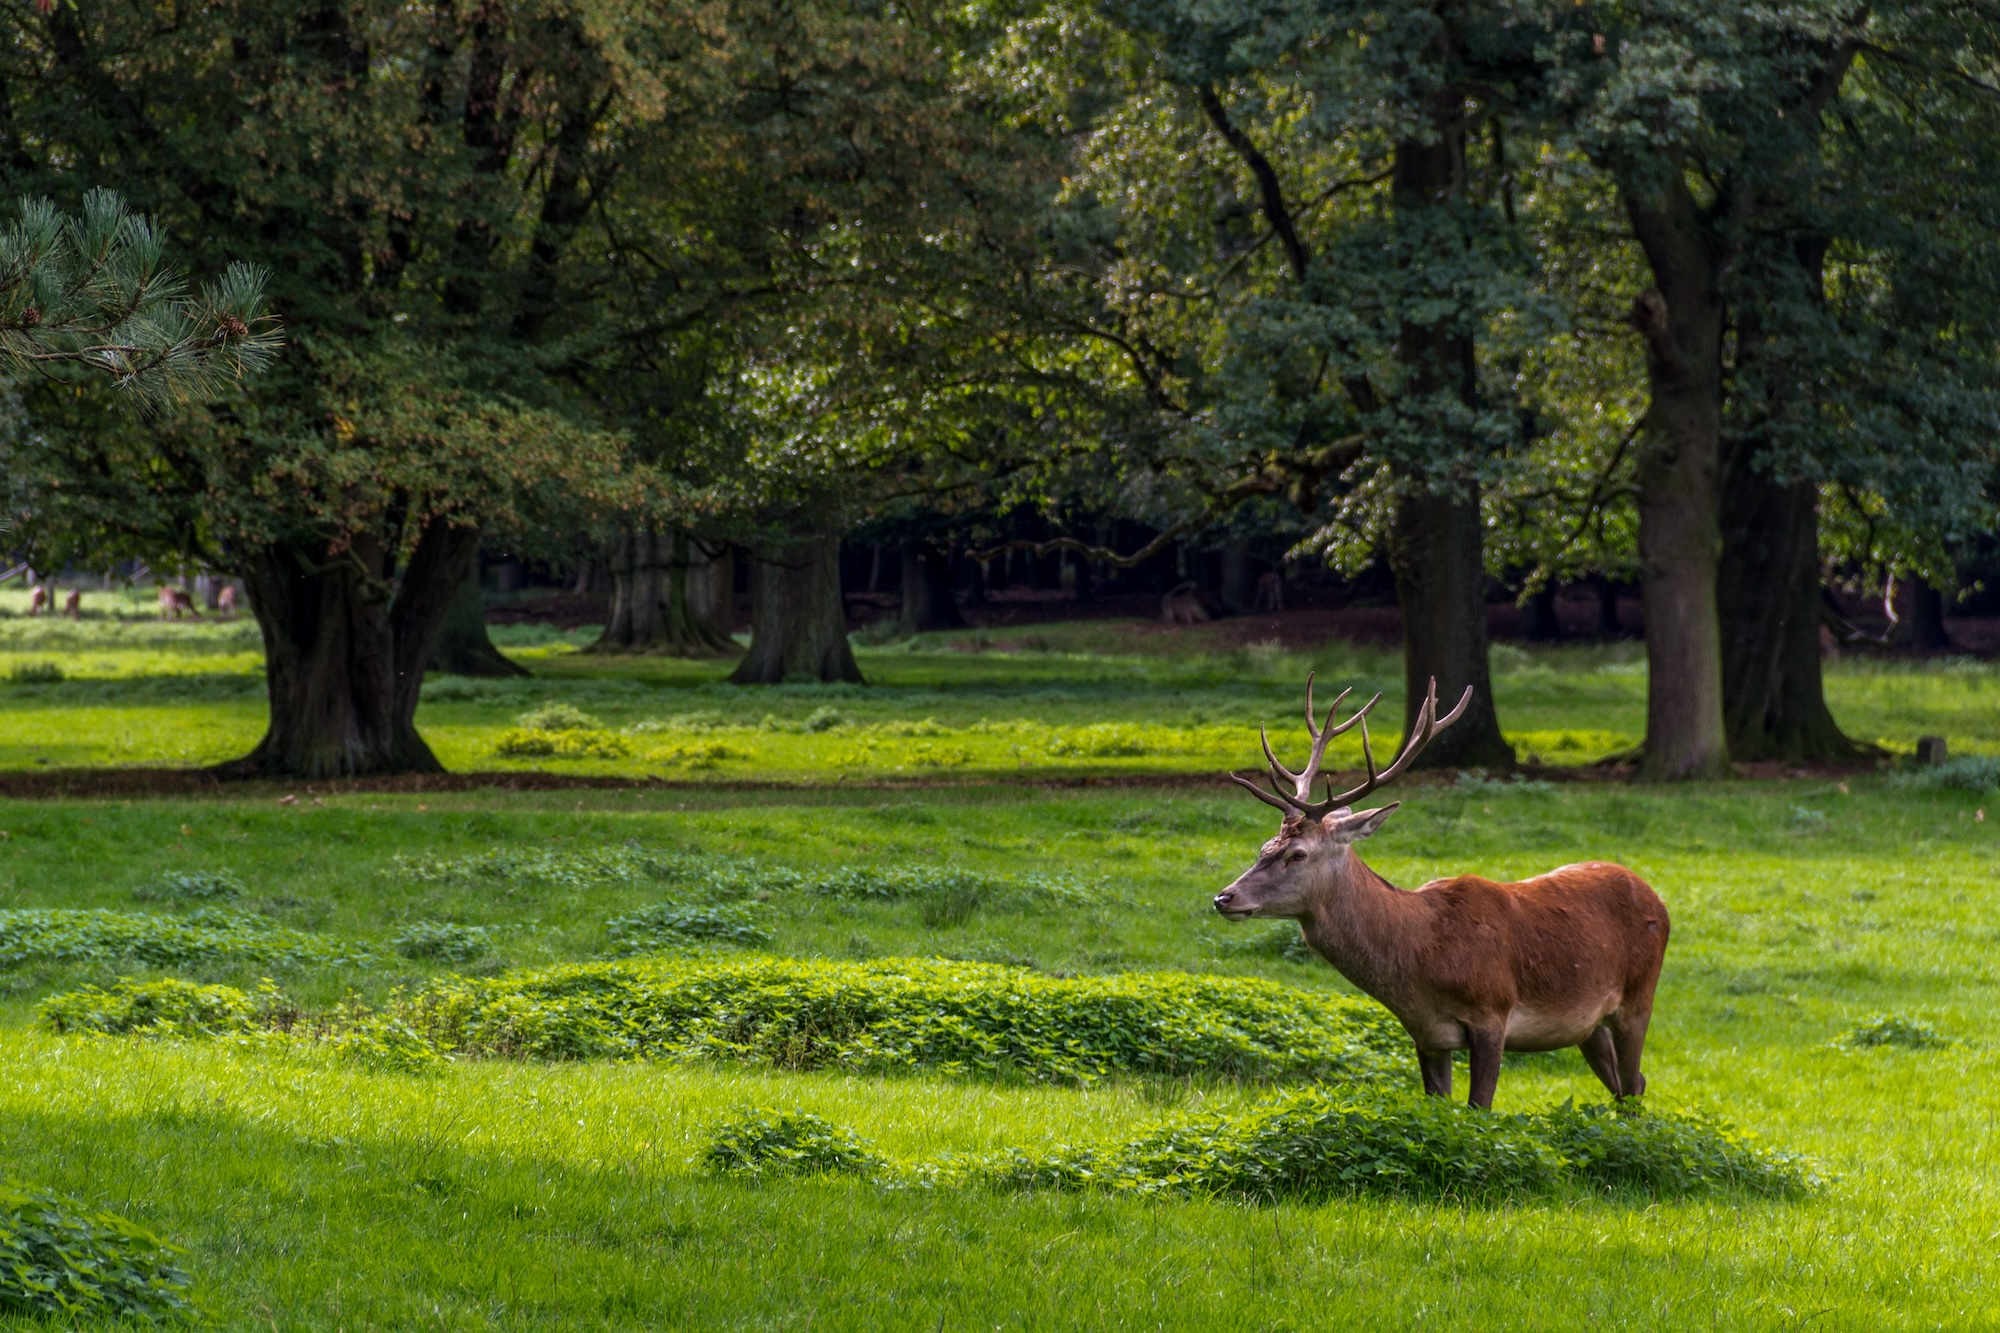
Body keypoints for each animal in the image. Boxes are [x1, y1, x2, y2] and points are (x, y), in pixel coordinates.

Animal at [1216, 668, 1672, 1104]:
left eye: (1297, 854)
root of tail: (1657, 900)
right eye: (1263, 847)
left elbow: (1479, 1108)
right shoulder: (1428, 1035)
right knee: (1629, 1083)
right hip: (1588, 1025)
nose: (1224, 897)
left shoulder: (1493, 1013)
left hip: (1639, 997)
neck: (1422, 958)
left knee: (1633, 1084)